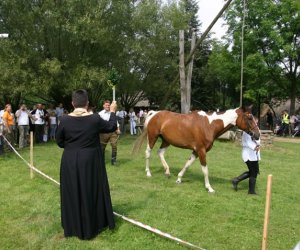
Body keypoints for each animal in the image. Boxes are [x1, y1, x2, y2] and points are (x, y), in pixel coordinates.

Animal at [132, 108, 262, 193]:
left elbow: (187, 164)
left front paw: (179, 179)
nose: (257, 135)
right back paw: (148, 173)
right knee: (148, 153)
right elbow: (205, 170)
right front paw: (209, 188)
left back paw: (167, 172)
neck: (209, 125)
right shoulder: (201, 150)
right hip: (152, 137)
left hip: (166, 141)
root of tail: (154, 113)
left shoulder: (196, 151)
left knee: (160, 153)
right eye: (249, 118)